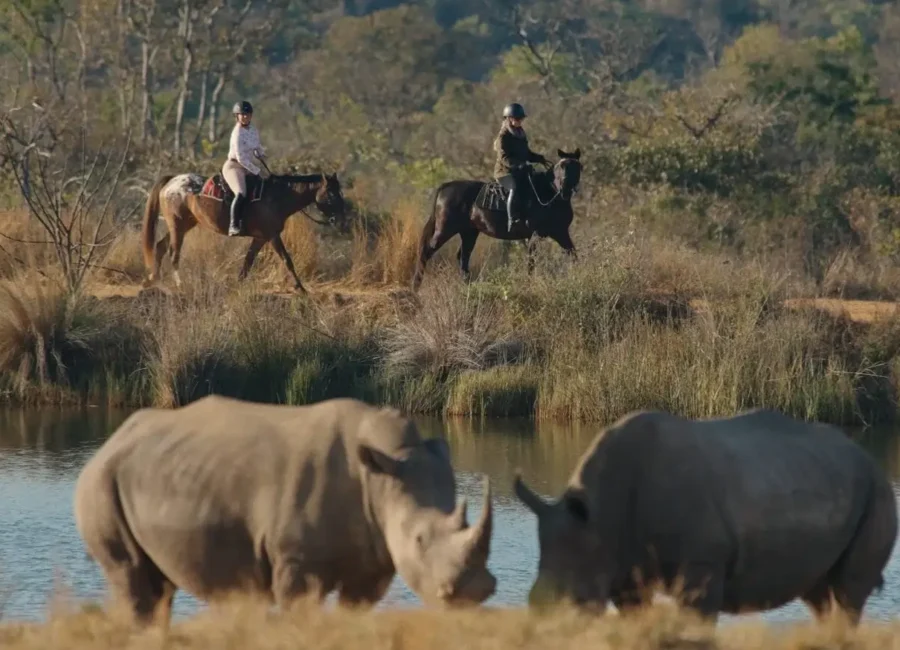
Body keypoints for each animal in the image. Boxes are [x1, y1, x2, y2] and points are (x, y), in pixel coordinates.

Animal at [74, 395, 495, 626]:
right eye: (420, 539)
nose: (473, 595)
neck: (383, 470)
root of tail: (111, 440)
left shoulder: (371, 560)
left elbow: (353, 610)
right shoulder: (296, 561)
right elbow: (301, 609)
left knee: (158, 587)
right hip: (99, 482)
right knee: (131, 577)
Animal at [514, 408, 897, 624]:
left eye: (574, 599)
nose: (544, 624)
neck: (599, 514)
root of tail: (869, 458)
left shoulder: (702, 566)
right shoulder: (624, 570)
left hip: (878, 491)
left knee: (848, 593)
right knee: (820, 595)